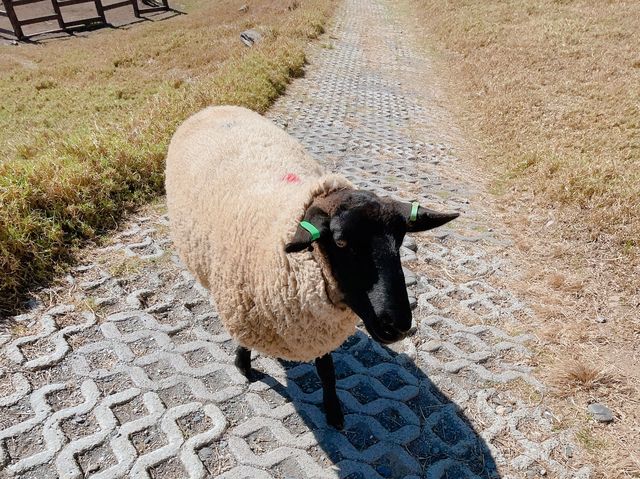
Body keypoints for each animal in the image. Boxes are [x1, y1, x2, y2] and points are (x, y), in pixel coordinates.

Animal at [164, 107, 456, 430]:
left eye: (401, 239)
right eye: (340, 242)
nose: (398, 325)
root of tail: (216, 107)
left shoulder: (318, 326)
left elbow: (326, 369)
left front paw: (333, 410)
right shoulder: (244, 303)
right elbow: (244, 340)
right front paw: (243, 365)